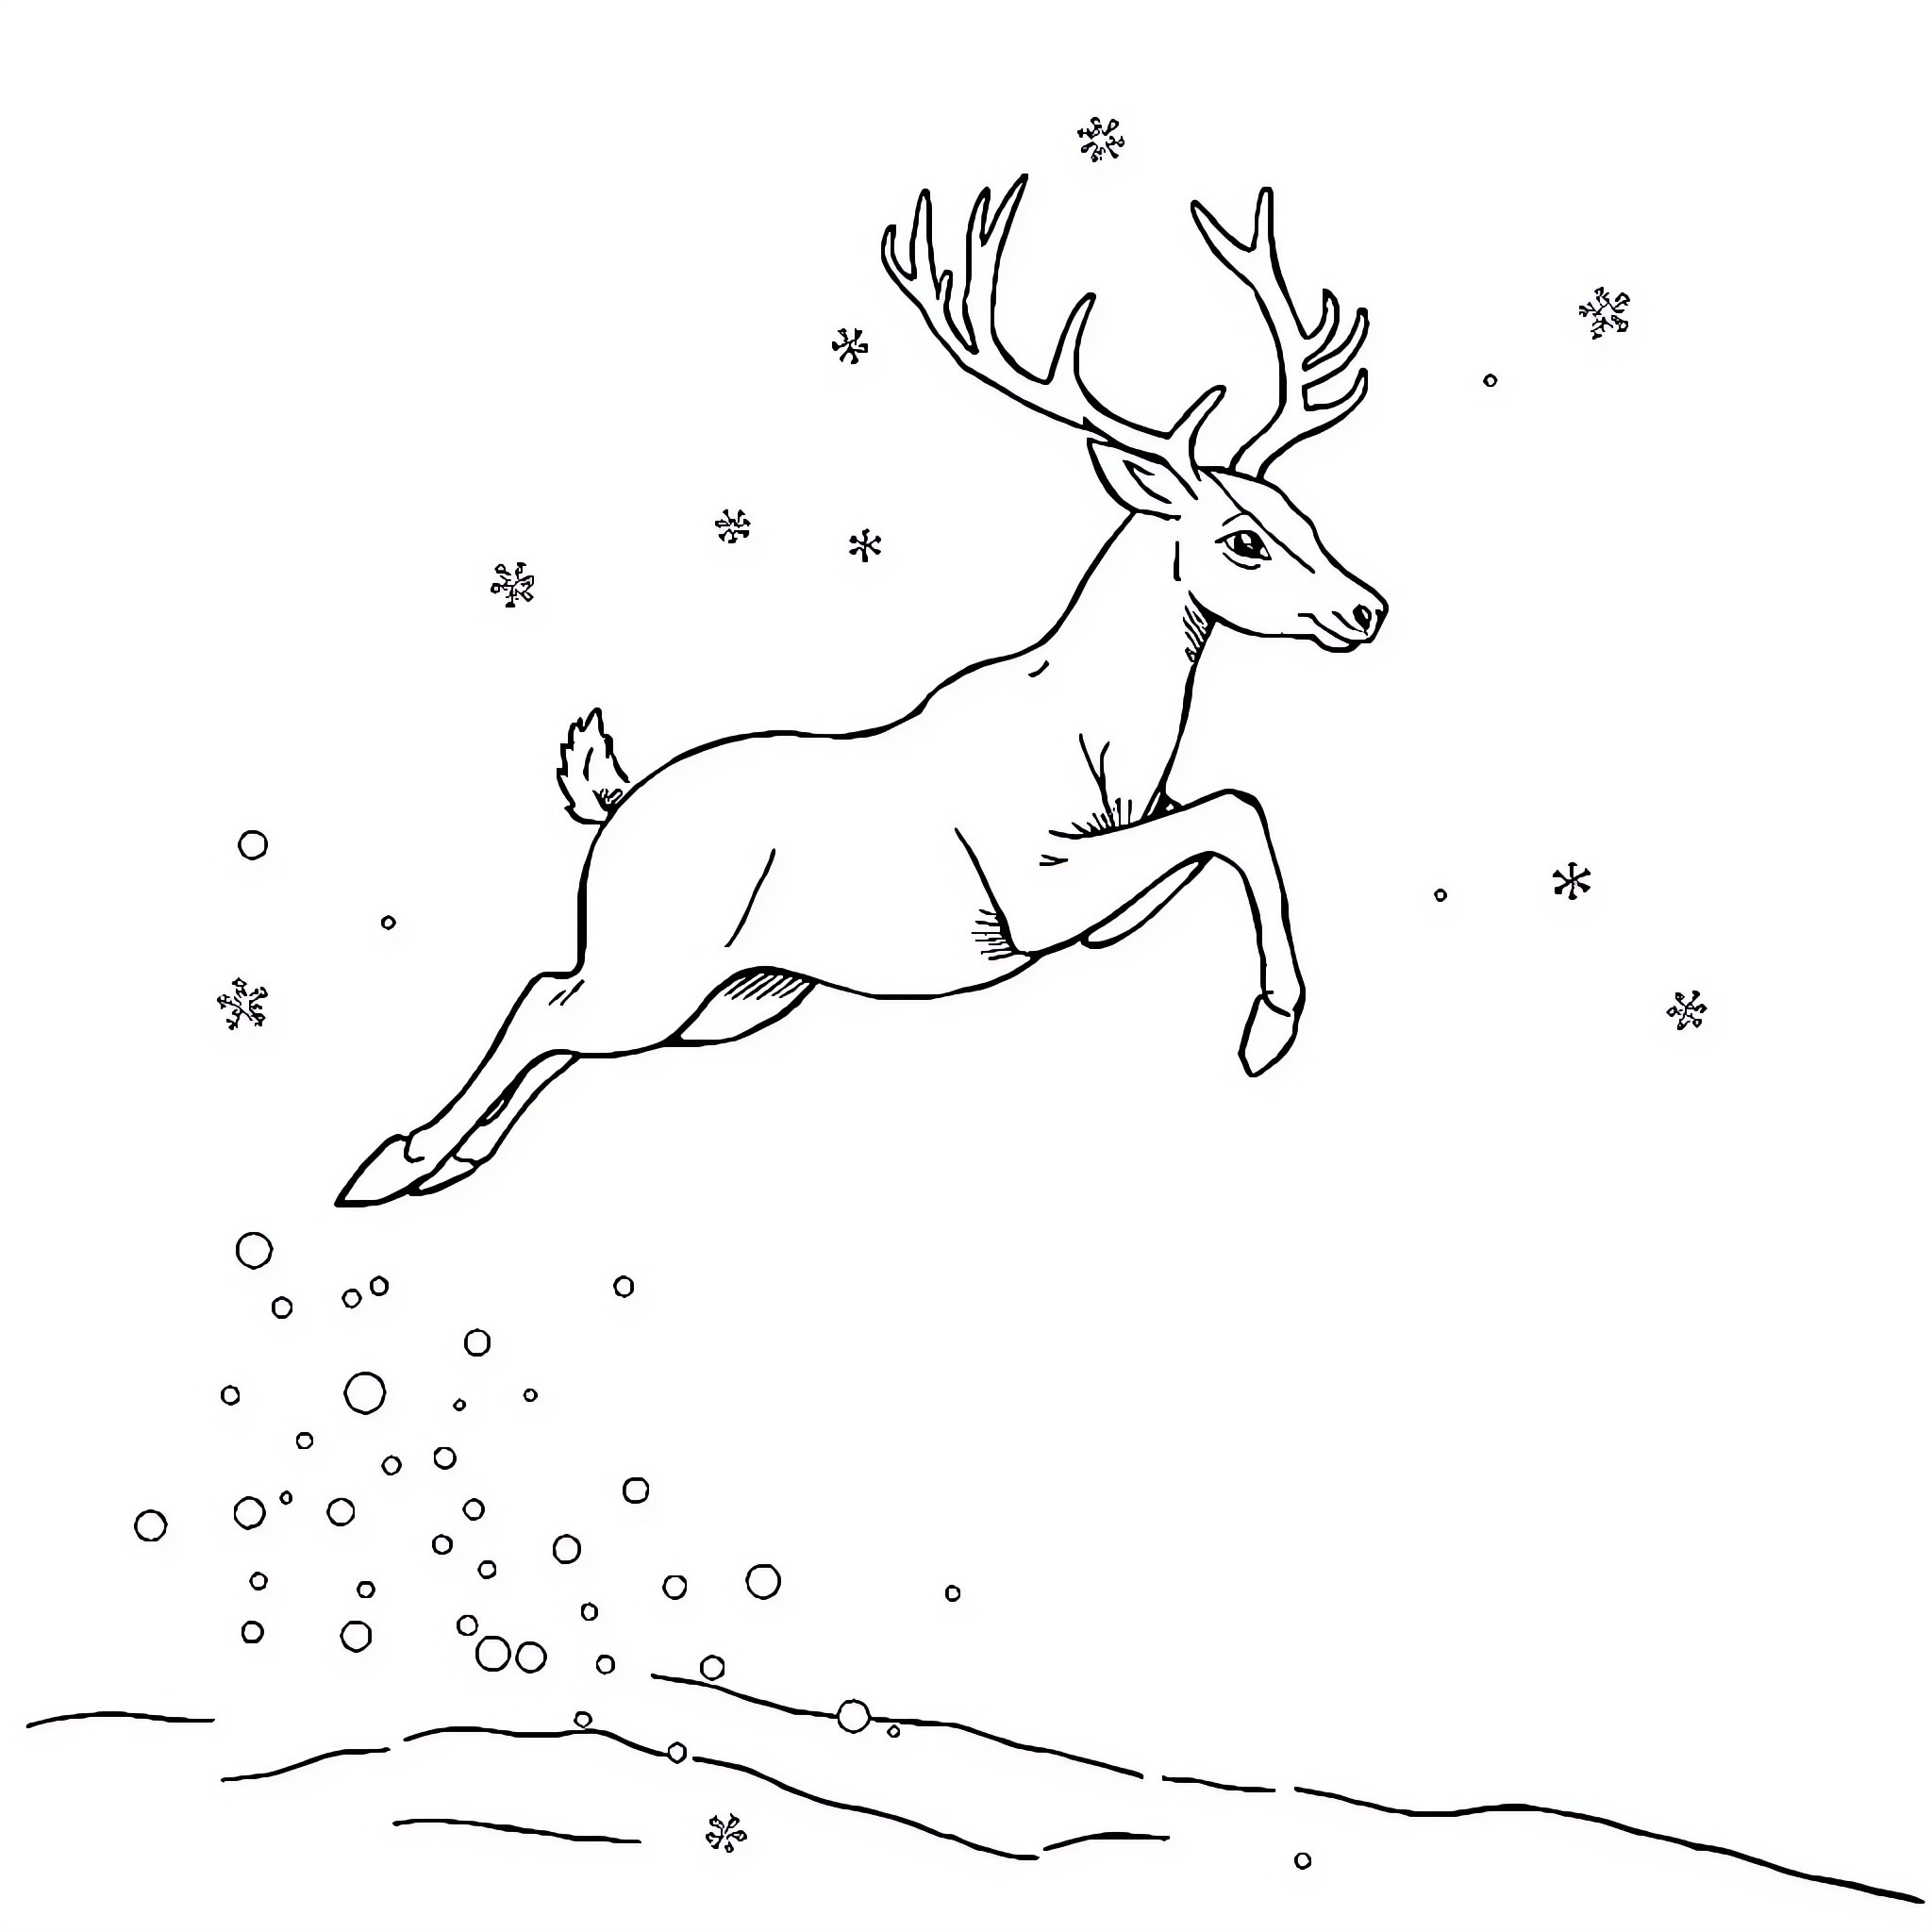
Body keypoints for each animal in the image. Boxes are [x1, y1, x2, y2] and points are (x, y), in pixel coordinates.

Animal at [336, 177, 1385, 1205]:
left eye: (1306, 519)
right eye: (1243, 539)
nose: (1367, 608)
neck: (1102, 741)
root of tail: (613, 808)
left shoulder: (1110, 862)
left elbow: (1205, 835)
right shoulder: (1029, 884)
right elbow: (1236, 811)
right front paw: (1270, 1027)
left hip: (733, 995)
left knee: (561, 1033)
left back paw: (455, 1161)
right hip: (656, 963)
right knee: (541, 1000)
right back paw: (397, 1161)